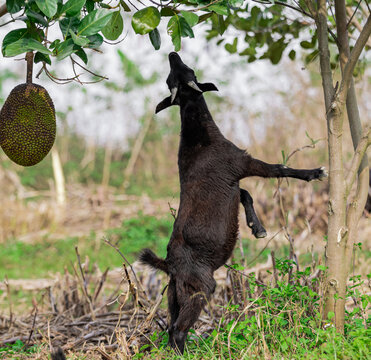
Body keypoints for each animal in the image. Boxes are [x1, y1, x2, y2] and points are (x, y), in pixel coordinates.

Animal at [140, 52, 328, 352]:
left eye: (177, 73)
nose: (172, 54)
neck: (199, 136)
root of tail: (168, 263)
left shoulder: (231, 183)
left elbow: (245, 194)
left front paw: (257, 227)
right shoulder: (241, 163)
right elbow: (278, 169)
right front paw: (315, 173)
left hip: (175, 291)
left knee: (171, 325)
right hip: (200, 287)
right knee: (179, 329)